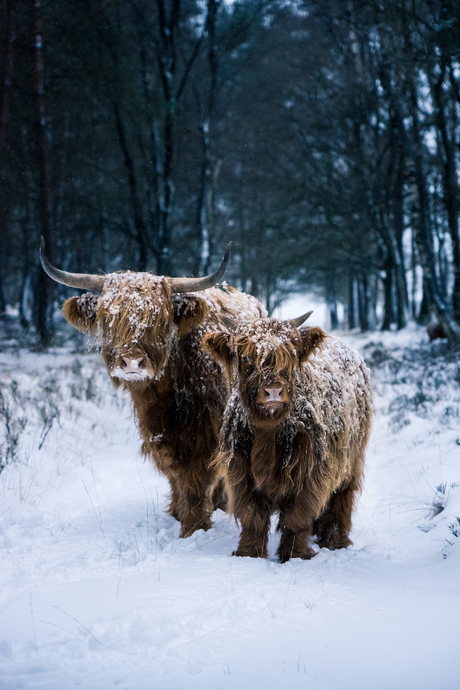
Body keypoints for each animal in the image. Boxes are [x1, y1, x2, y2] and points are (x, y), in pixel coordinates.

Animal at [39, 239, 266, 536]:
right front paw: (178, 514)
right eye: (108, 318)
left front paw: (194, 527)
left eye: (159, 319)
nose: (132, 362)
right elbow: (175, 476)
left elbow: (196, 479)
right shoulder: (158, 435)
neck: (165, 392)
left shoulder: (206, 431)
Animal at [205, 314, 374, 560]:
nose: (273, 391)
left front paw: (295, 555)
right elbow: (252, 517)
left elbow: (296, 517)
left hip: (350, 458)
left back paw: (335, 541)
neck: (268, 431)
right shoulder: (240, 472)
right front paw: (249, 554)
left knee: (342, 496)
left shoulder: (310, 472)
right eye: (245, 357)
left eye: (290, 356)